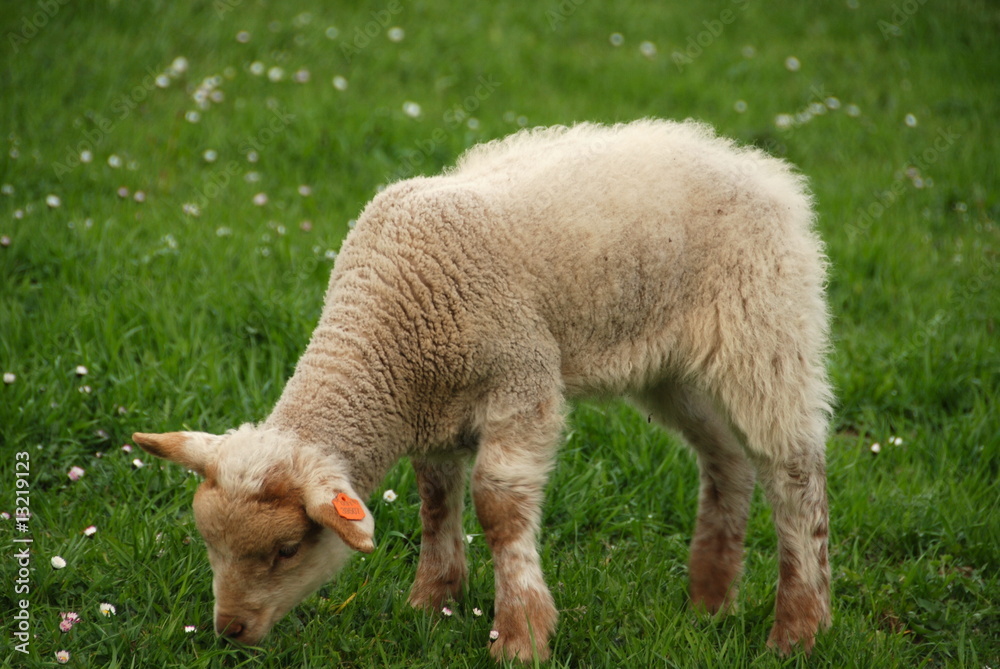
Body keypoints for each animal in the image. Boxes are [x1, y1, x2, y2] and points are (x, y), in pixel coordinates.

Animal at [134, 119, 833, 662]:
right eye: (209, 543)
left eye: (285, 549)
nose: (230, 631)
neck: (387, 331)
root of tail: (757, 166)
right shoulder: (434, 410)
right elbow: (435, 498)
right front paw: (431, 602)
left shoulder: (523, 385)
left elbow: (498, 507)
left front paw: (521, 636)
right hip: (670, 368)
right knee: (727, 458)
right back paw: (709, 600)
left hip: (765, 330)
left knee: (793, 470)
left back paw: (799, 628)